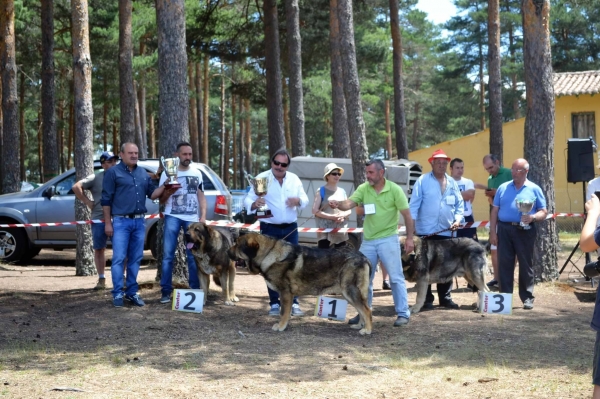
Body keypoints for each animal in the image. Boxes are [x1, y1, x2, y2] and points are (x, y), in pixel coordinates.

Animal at [227, 233, 372, 336]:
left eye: (237, 244)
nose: (227, 251)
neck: (269, 254)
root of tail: (363, 257)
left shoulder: (285, 293)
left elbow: (283, 313)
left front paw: (281, 326)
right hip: (350, 294)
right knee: (362, 309)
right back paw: (360, 326)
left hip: (349, 292)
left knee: (366, 310)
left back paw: (367, 330)